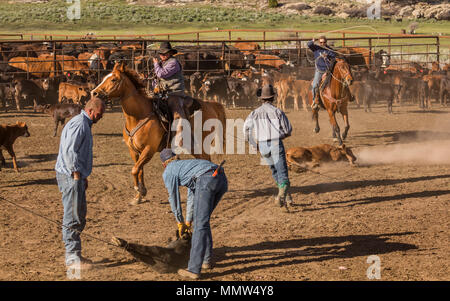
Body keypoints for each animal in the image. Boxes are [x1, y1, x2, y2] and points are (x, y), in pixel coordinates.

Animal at [91, 62, 227, 204]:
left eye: (113, 79)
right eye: (104, 78)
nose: (94, 93)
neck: (138, 116)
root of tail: (210, 105)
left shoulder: (149, 150)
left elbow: (134, 170)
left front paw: (138, 189)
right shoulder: (133, 150)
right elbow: (139, 170)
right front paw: (139, 195)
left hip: (198, 144)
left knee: (206, 160)